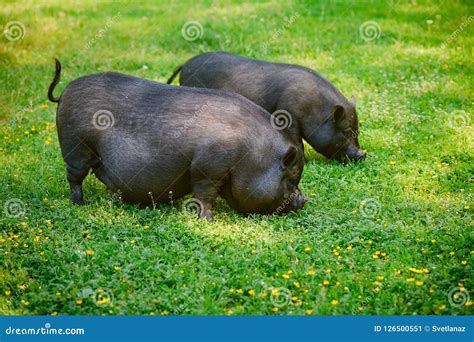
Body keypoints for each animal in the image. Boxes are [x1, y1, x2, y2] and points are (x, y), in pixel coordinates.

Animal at [47, 59, 308, 220]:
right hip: (76, 147)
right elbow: (204, 195)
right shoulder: (207, 167)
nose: (304, 199)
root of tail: (65, 91)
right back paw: (79, 204)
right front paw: (208, 220)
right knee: (75, 177)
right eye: (291, 178)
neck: (251, 155)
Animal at [168, 51, 366, 163]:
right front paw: (306, 161)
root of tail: (186, 64)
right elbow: (297, 142)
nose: (363, 154)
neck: (314, 109)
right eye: (346, 131)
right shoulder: (288, 116)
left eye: (358, 130)